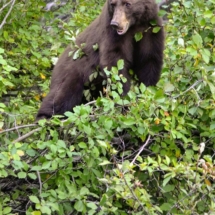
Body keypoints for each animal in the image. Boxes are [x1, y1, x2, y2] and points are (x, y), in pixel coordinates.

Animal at [36, 0, 165, 120]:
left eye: (127, 4)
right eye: (113, 4)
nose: (115, 24)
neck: (134, 26)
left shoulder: (151, 29)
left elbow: (149, 61)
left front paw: (146, 94)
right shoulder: (111, 34)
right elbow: (115, 64)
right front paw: (123, 101)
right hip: (71, 72)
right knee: (62, 95)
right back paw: (44, 117)